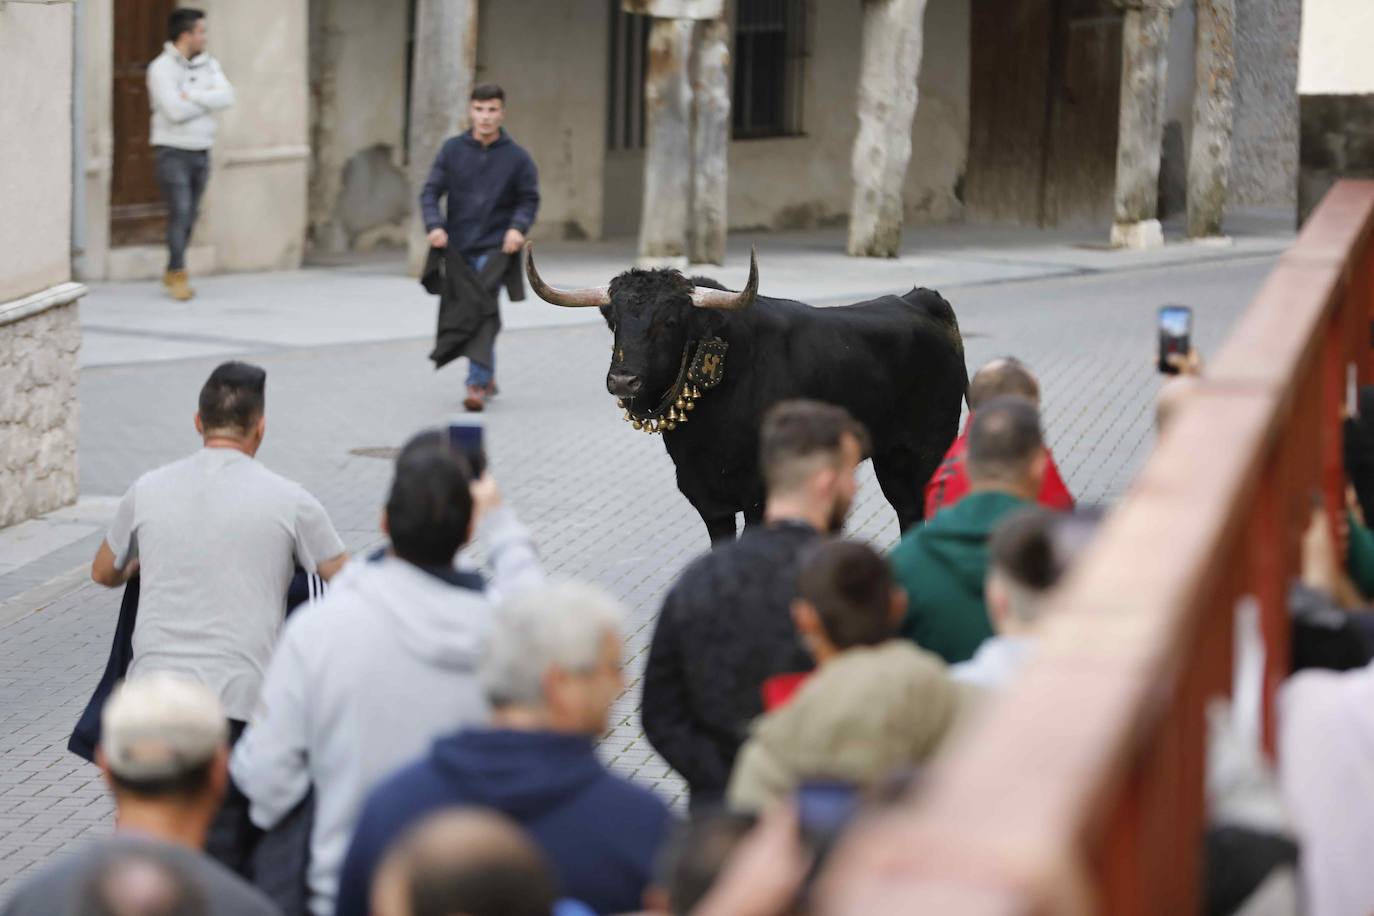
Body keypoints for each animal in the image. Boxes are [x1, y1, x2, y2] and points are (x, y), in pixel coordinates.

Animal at [522, 245, 967, 543]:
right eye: (613, 320)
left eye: (669, 321)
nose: (622, 380)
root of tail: (919, 301)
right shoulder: (708, 500)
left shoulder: (759, 497)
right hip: (891, 458)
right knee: (908, 512)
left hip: (929, 448)